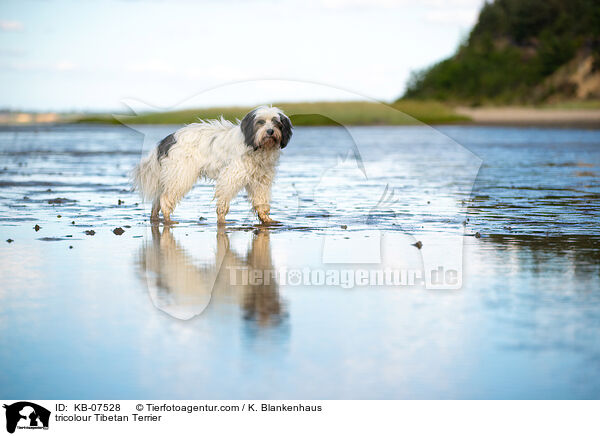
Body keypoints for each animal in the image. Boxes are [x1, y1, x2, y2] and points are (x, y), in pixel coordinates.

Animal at [132, 106, 292, 225]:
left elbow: (261, 201)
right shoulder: (231, 176)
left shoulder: (261, 180)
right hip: (181, 175)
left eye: (277, 122)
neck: (257, 147)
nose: (270, 131)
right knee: (165, 198)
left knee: (157, 200)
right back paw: (168, 220)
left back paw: (155, 218)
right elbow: (223, 201)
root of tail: (168, 139)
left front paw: (266, 219)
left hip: (171, 175)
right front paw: (222, 221)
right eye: (260, 122)